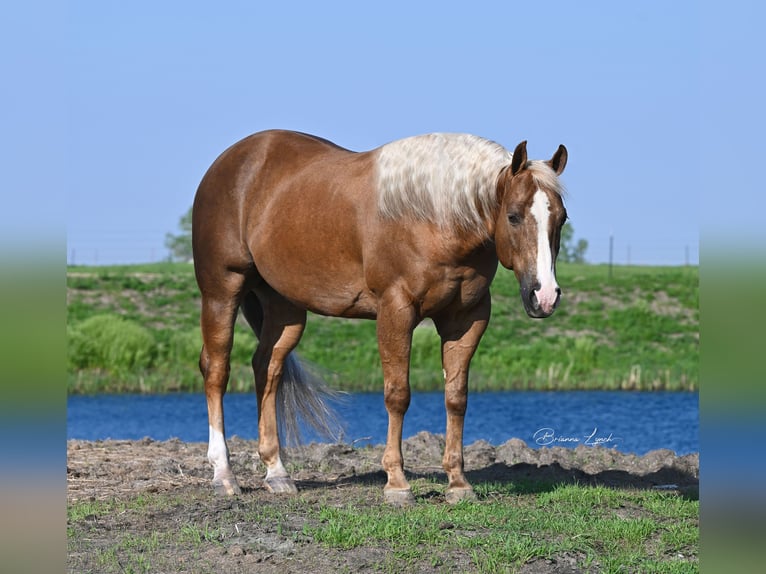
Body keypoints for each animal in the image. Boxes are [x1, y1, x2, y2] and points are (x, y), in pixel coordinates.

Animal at [194, 130, 568, 508]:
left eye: (562, 218)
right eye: (514, 216)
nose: (544, 296)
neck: (434, 216)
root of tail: (230, 161)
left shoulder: (467, 318)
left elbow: (456, 396)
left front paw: (458, 483)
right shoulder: (395, 310)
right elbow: (397, 394)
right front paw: (397, 484)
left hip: (285, 308)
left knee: (267, 369)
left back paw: (277, 473)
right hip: (222, 291)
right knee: (217, 371)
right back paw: (224, 475)